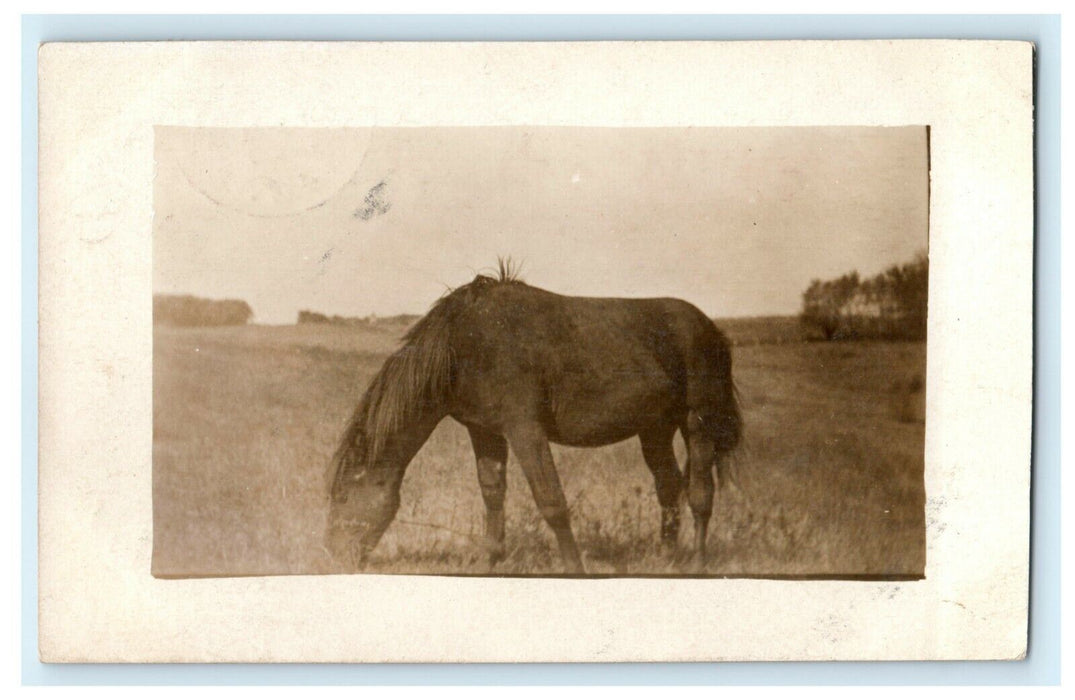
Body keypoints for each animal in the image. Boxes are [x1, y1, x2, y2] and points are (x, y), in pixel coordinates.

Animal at [325, 264, 742, 574]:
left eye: (343, 495)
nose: (330, 554)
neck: (465, 344)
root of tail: (712, 329)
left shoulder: (525, 430)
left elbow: (551, 502)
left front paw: (574, 569)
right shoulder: (485, 431)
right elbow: (493, 494)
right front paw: (489, 562)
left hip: (698, 423)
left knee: (701, 495)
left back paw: (698, 563)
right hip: (654, 428)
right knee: (668, 486)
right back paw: (667, 558)